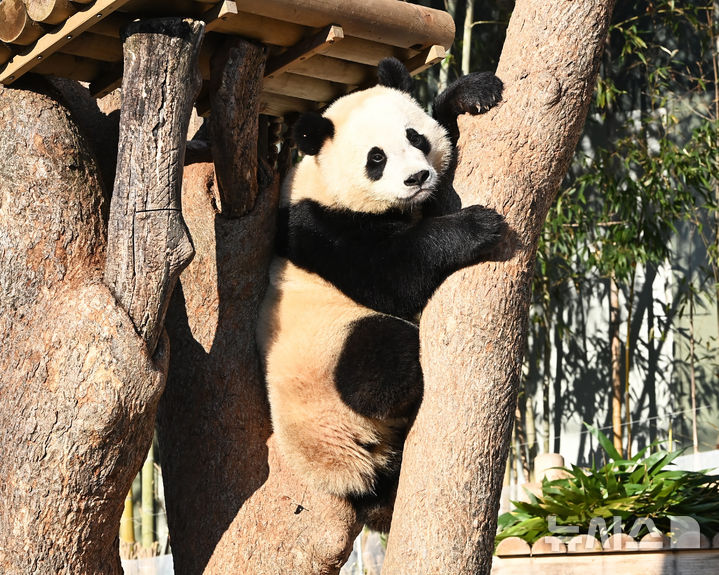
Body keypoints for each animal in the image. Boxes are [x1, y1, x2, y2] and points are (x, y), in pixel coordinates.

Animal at [258, 58, 506, 532]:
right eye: (376, 158)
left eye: (414, 137)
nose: (417, 177)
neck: (321, 179)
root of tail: (345, 469)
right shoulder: (319, 226)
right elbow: (395, 275)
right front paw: (478, 226)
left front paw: (473, 93)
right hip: (326, 358)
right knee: (373, 369)